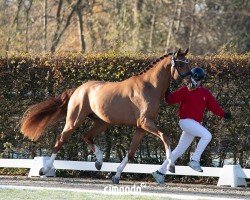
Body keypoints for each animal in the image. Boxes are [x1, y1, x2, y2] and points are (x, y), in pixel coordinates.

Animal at [21, 48, 189, 183]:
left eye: (188, 63)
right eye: (181, 65)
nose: (192, 81)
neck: (149, 86)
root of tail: (78, 89)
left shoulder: (141, 127)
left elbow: (131, 152)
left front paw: (116, 176)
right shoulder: (145, 122)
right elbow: (165, 136)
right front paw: (171, 166)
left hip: (102, 122)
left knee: (86, 136)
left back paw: (99, 162)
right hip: (74, 120)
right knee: (60, 140)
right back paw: (45, 169)